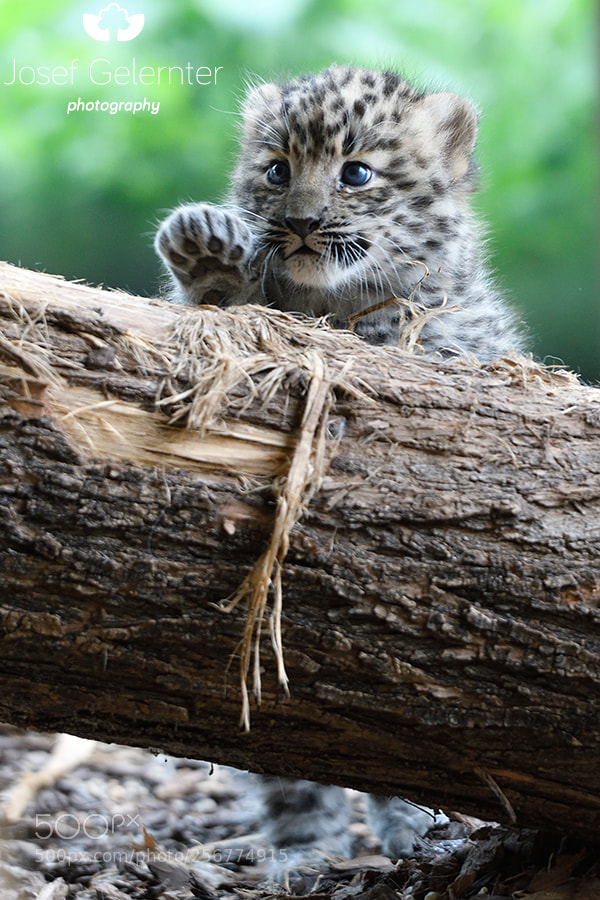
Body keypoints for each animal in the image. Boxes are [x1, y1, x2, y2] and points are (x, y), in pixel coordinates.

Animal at [154, 65, 524, 881]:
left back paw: (419, 836)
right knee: (296, 777)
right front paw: (209, 258)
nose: (299, 223)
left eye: (356, 174)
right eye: (276, 171)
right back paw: (304, 855)